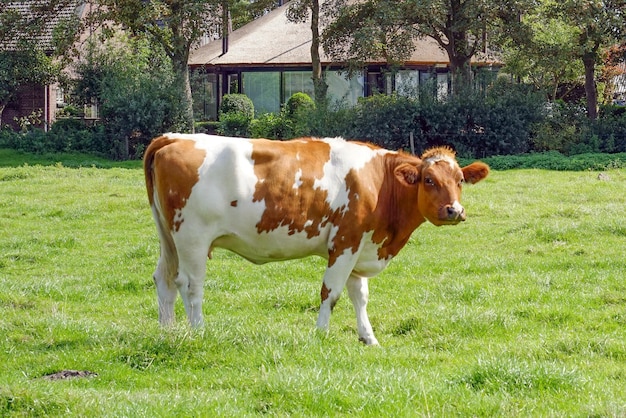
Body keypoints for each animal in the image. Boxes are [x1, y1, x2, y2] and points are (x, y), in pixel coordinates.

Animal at [143, 135, 488, 346]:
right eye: (428, 180)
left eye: (459, 180)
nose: (454, 210)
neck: (378, 181)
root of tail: (175, 137)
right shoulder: (346, 242)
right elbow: (331, 292)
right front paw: (321, 334)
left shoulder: (359, 245)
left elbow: (359, 295)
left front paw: (368, 337)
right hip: (192, 238)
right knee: (190, 284)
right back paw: (198, 331)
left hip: (168, 238)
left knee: (164, 279)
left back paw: (167, 331)